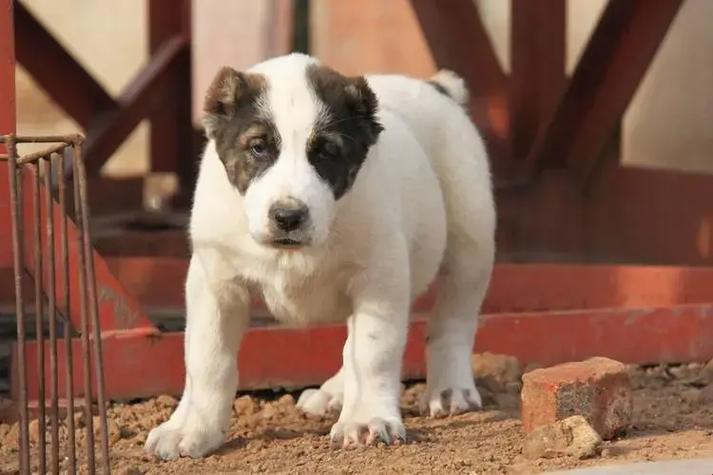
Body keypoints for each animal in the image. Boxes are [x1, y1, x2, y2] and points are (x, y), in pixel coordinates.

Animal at [142, 53, 492, 462]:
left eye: (326, 152)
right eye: (258, 147)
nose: (288, 216)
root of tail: (436, 87)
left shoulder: (380, 277)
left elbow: (373, 351)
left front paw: (367, 418)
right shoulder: (216, 282)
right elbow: (207, 358)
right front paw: (193, 428)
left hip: (471, 237)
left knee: (453, 319)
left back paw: (449, 390)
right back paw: (334, 393)